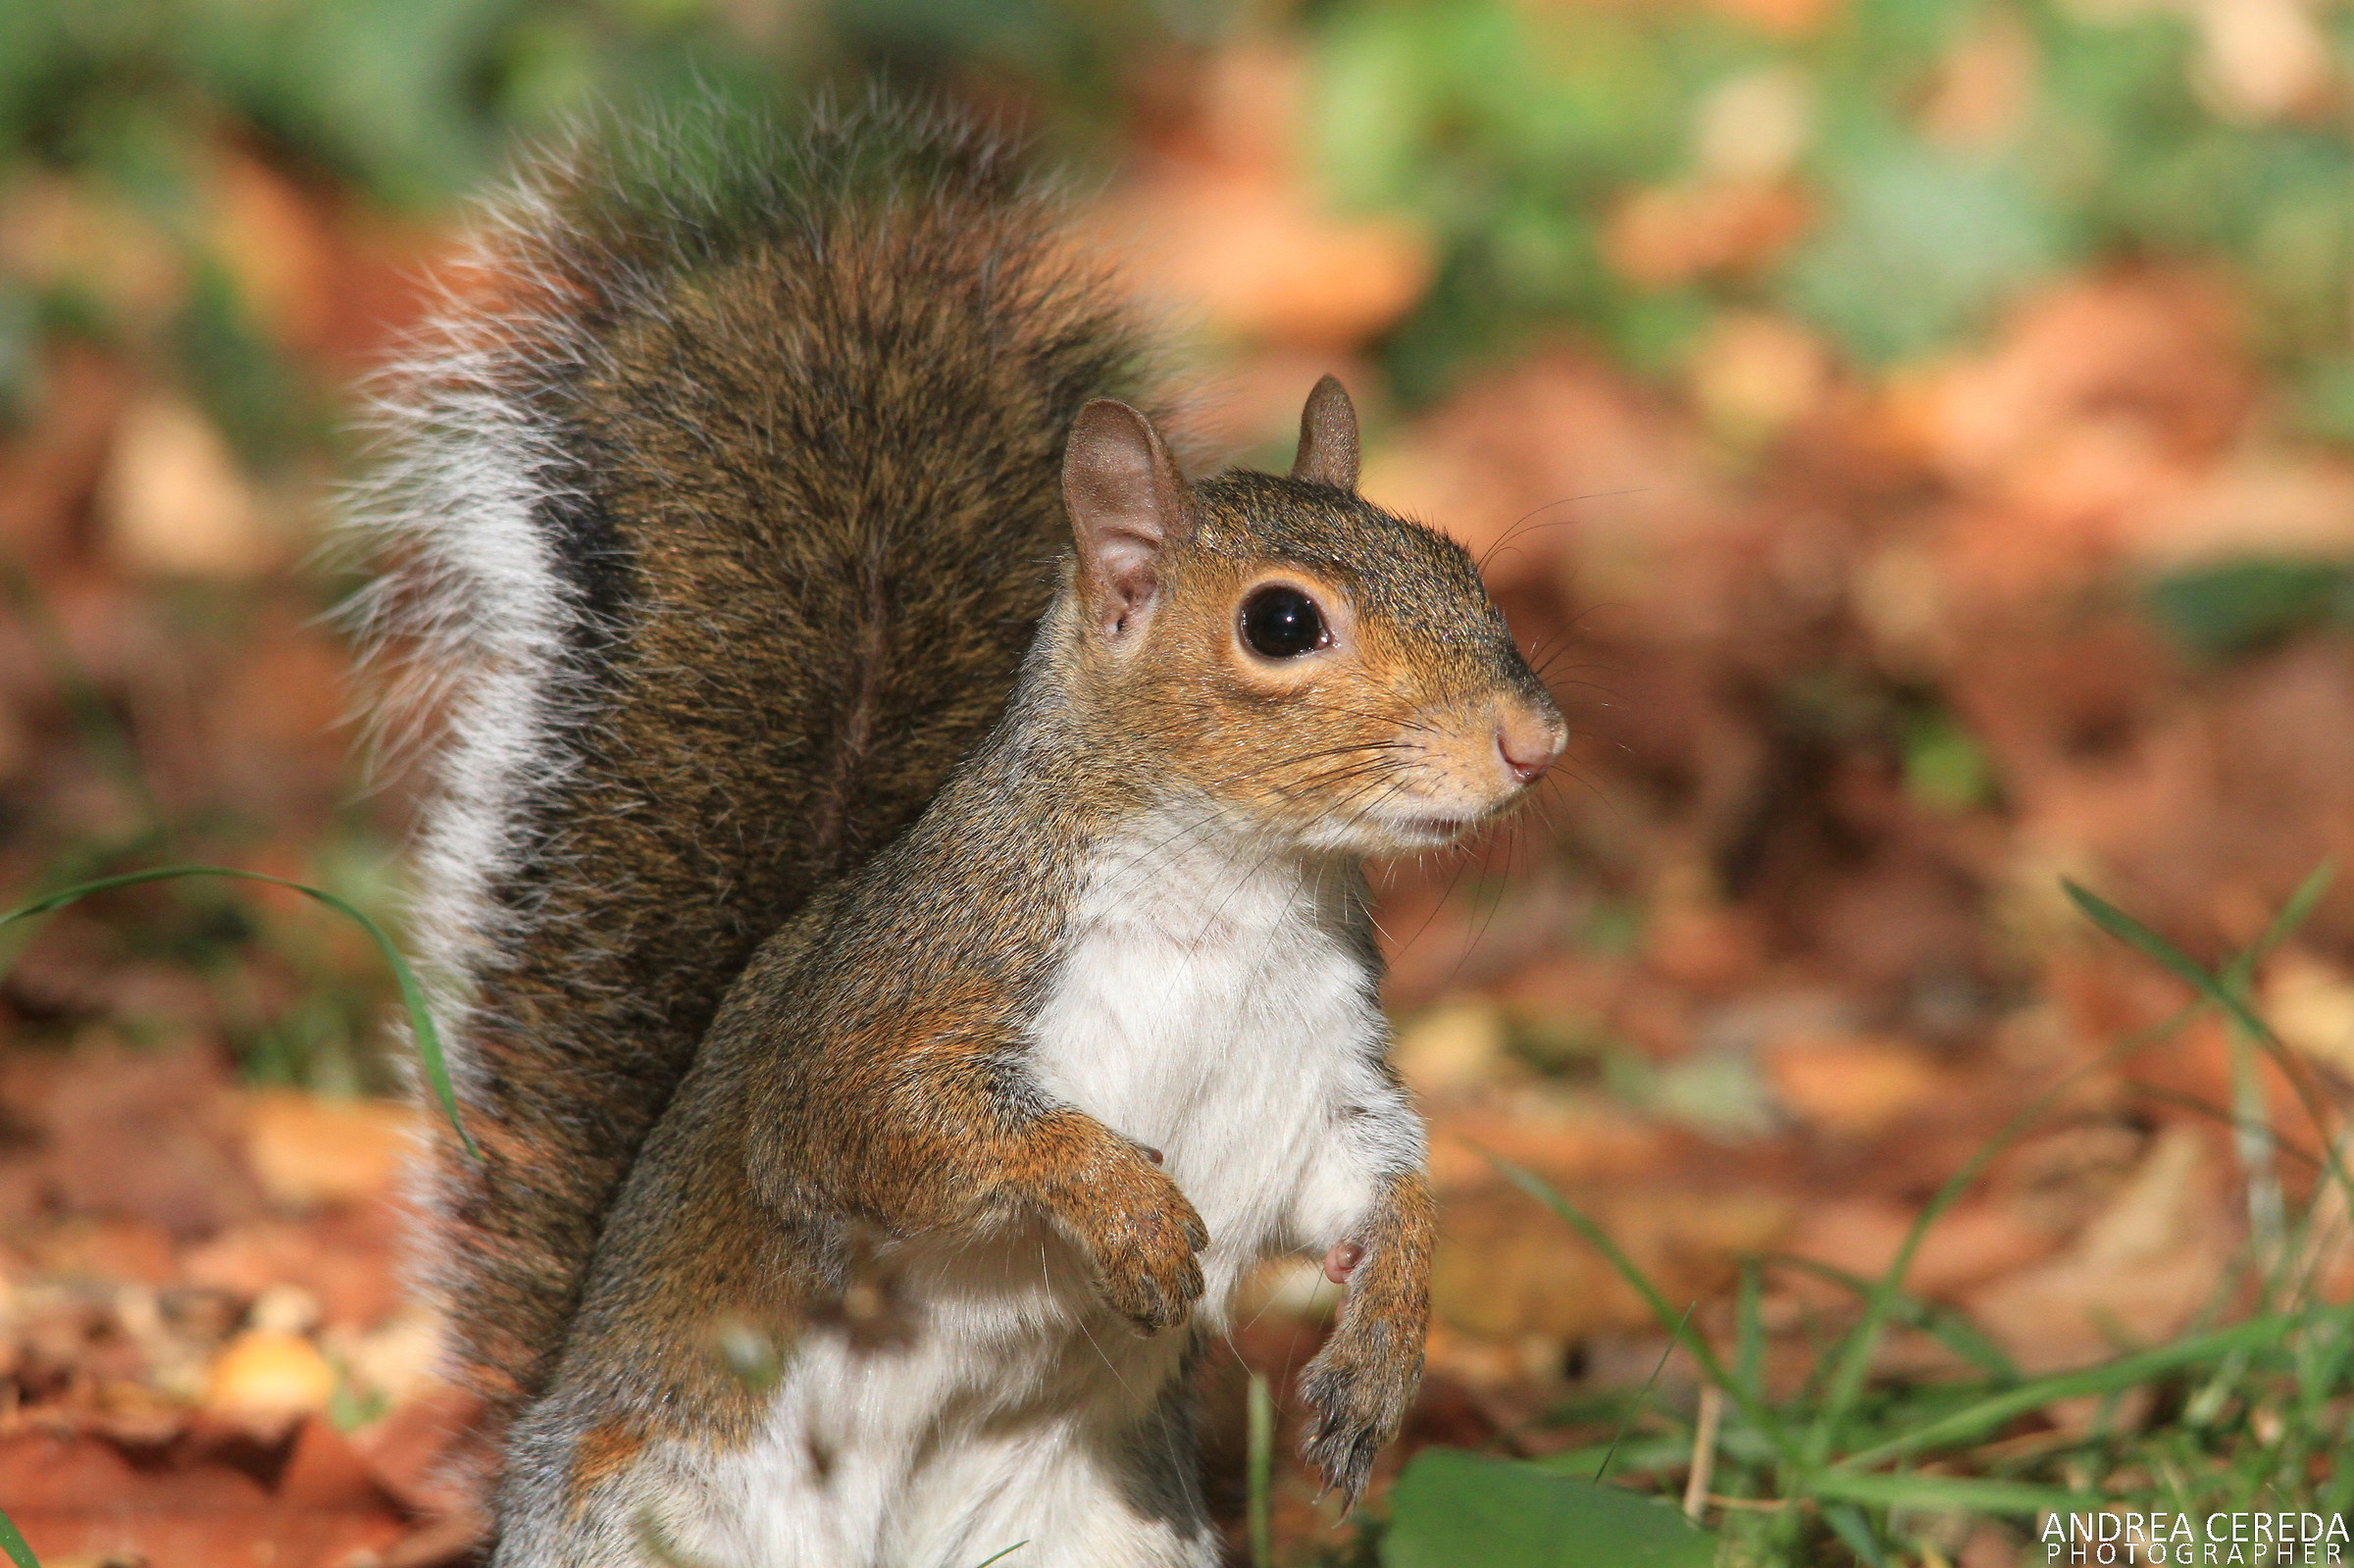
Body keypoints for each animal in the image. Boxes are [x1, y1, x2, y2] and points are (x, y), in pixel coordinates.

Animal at [355, 97, 1564, 1567]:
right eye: (1282, 623)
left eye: (1457, 561)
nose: (1535, 740)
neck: (1233, 889)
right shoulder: (915, 985)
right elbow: (889, 1123)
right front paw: (1115, 1201)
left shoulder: (1317, 1066)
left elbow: (1379, 1187)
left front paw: (1384, 1341)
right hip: (650, 1518)